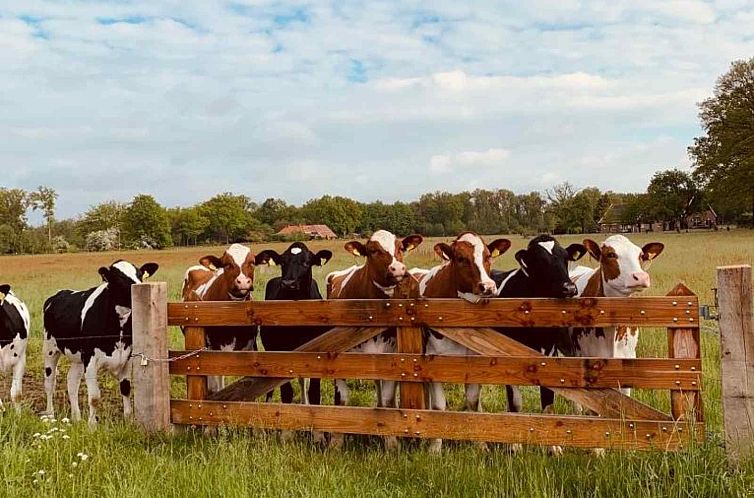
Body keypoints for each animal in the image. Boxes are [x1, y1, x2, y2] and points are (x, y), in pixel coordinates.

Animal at [42, 258, 157, 426]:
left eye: (140, 275)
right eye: (118, 278)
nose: (138, 289)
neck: (118, 329)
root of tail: (59, 293)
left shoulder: (126, 358)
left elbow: (126, 388)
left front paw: (128, 419)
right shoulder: (90, 359)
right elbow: (94, 396)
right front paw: (92, 425)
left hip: (78, 358)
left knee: (71, 381)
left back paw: (76, 417)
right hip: (50, 349)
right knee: (50, 382)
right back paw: (50, 415)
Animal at [326, 230, 424, 452]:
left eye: (400, 247)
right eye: (372, 250)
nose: (398, 268)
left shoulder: (391, 358)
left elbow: (388, 401)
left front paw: (391, 443)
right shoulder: (338, 359)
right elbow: (341, 400)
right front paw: (335, 442)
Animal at [412, 231, 512, 454]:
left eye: (488, 256)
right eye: (460, 258)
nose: (488, 287)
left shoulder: (474, 362)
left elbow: (473, 402)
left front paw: (480, 444)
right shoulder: (433, 362)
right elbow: (439, 405)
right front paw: (435, 446)